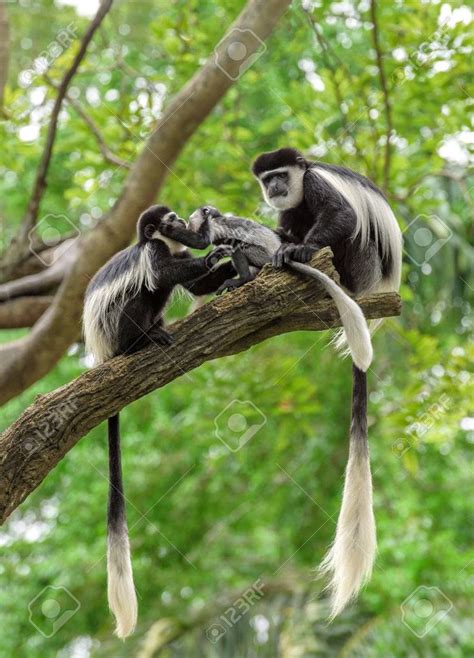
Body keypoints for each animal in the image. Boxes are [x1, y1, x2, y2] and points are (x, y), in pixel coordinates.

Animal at [84, 205, 235, 636]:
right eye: (168, 220)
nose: (183, 221)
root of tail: (103, 354)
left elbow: (194, 285)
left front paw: (228, 266)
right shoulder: (153, 252)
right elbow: (162, 274)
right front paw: (214, 256)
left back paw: (157, 329)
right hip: (118, 327)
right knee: (143, 292)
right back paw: (143, 341)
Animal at [252, 146, 404, 616]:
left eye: (281, 175)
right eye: (267, 180)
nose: (275, 188)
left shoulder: (317, 186)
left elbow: (342, 215)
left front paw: (299, 249)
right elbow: (285, 221)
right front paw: (279, 242)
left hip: (363, 262)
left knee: (349, 232)